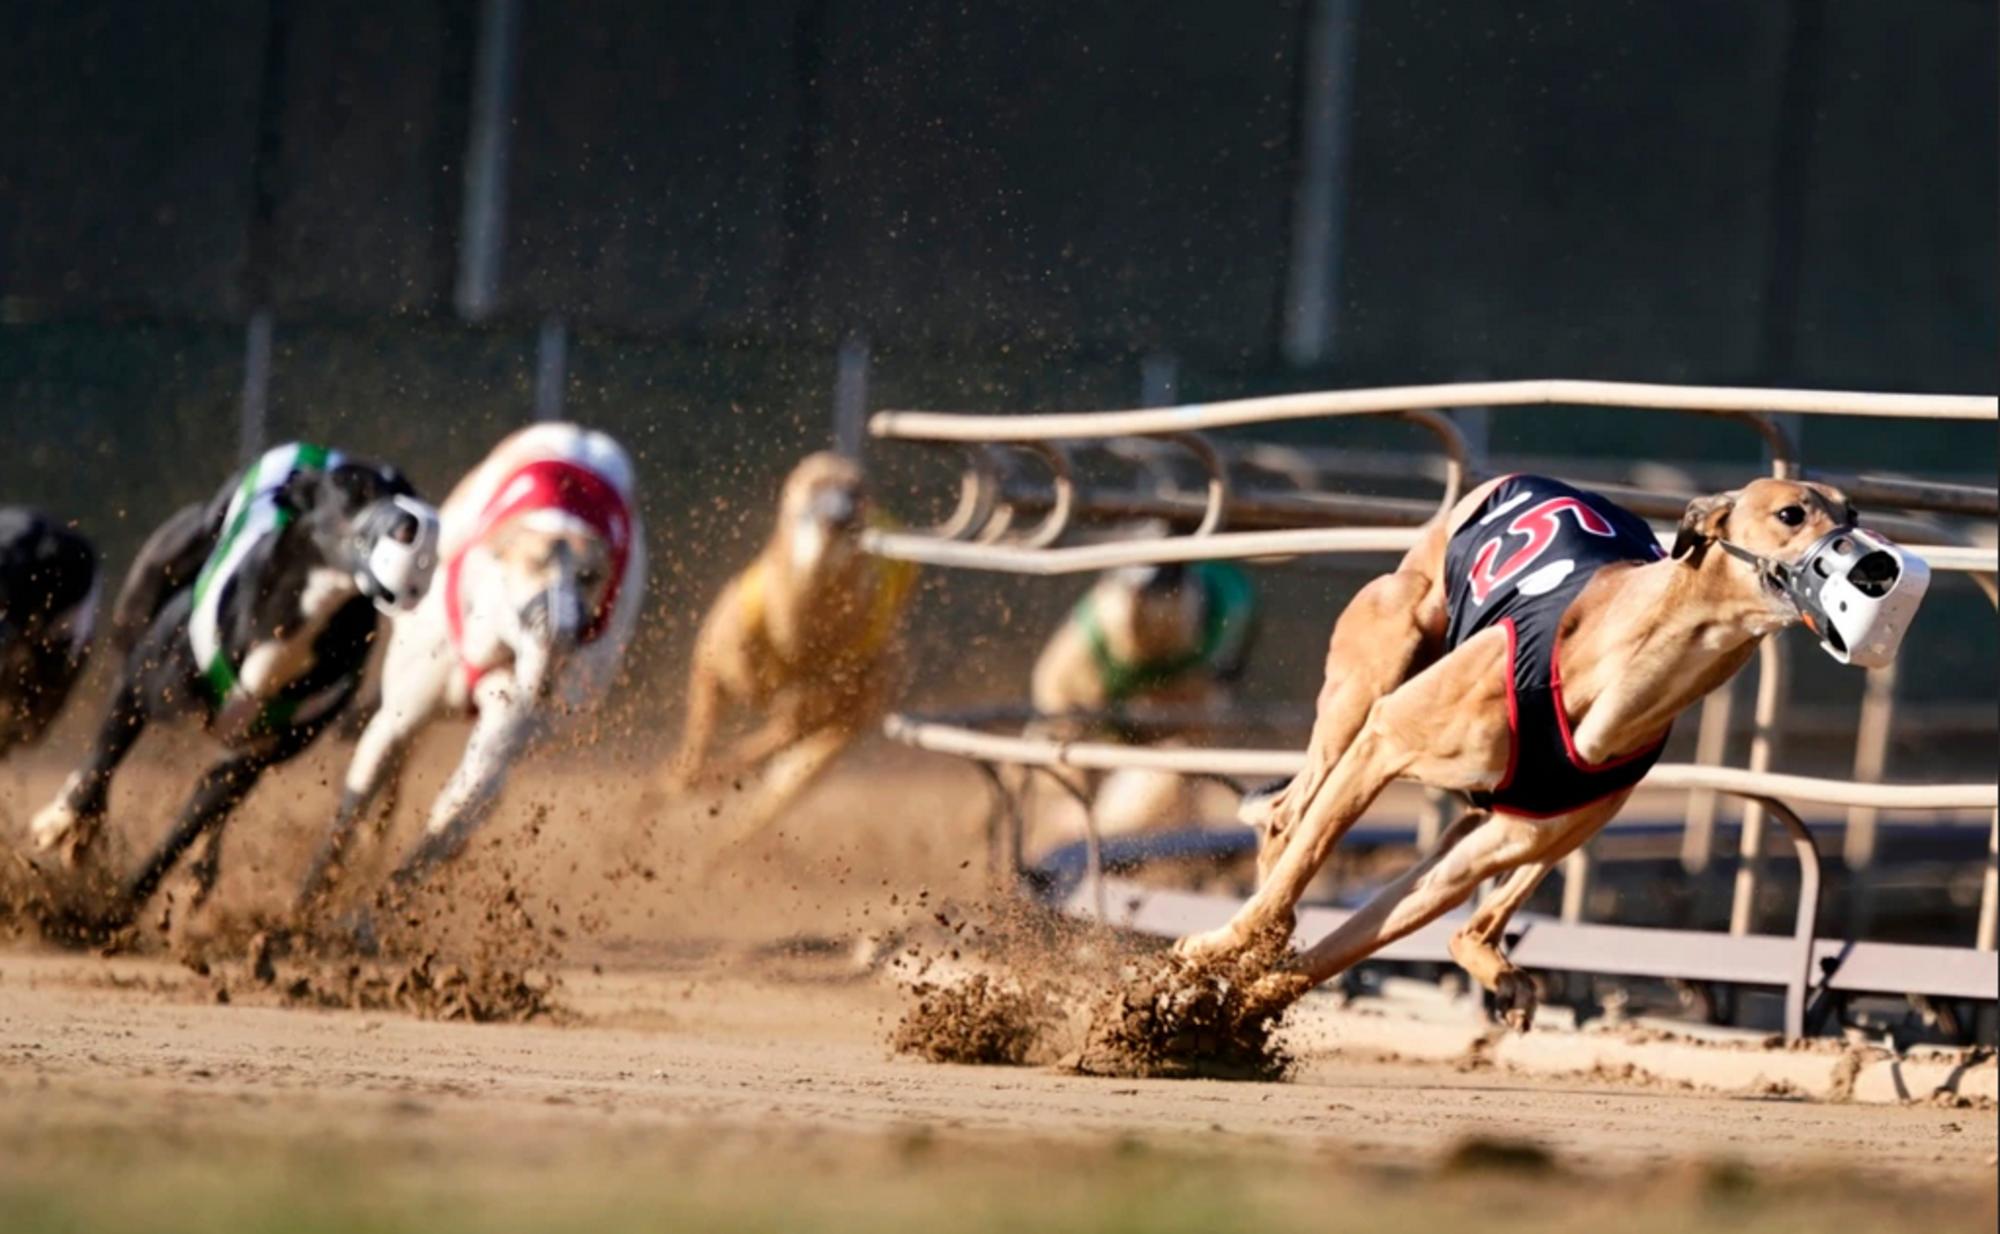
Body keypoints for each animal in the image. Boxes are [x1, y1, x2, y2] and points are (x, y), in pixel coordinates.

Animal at [25, 446, 438, 924]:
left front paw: (119, 910)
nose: (411, 524)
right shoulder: (140, 681)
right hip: (141, 603)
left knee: (217, 797)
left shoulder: (253, 758)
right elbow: (102, 762)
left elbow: (187, 829)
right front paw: (67, 822)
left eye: (408, 492)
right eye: (356, 487)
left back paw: (201, 870)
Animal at [296, 424, 644, 904]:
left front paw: (368, 911)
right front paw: (307, 901)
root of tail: (583, 435)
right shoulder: (402, 714)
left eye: (590, 579)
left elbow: (453, 813)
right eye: (534, 564)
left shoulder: (504, 734)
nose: (560, 629)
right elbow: (356, 800)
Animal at [1176, 472, 1928, 1020]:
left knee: (1473, 915)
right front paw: (1219, 955)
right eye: (1792, 514)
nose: (1876, 568)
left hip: (1534, 828)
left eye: (1854, 510)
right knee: (1289, 820)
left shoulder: (1494, 846)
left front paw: (1219, 1021)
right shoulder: (1385, 738)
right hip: (1371, 677)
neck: (1628, 670)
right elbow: (1292, 883)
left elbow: (1339, 947)